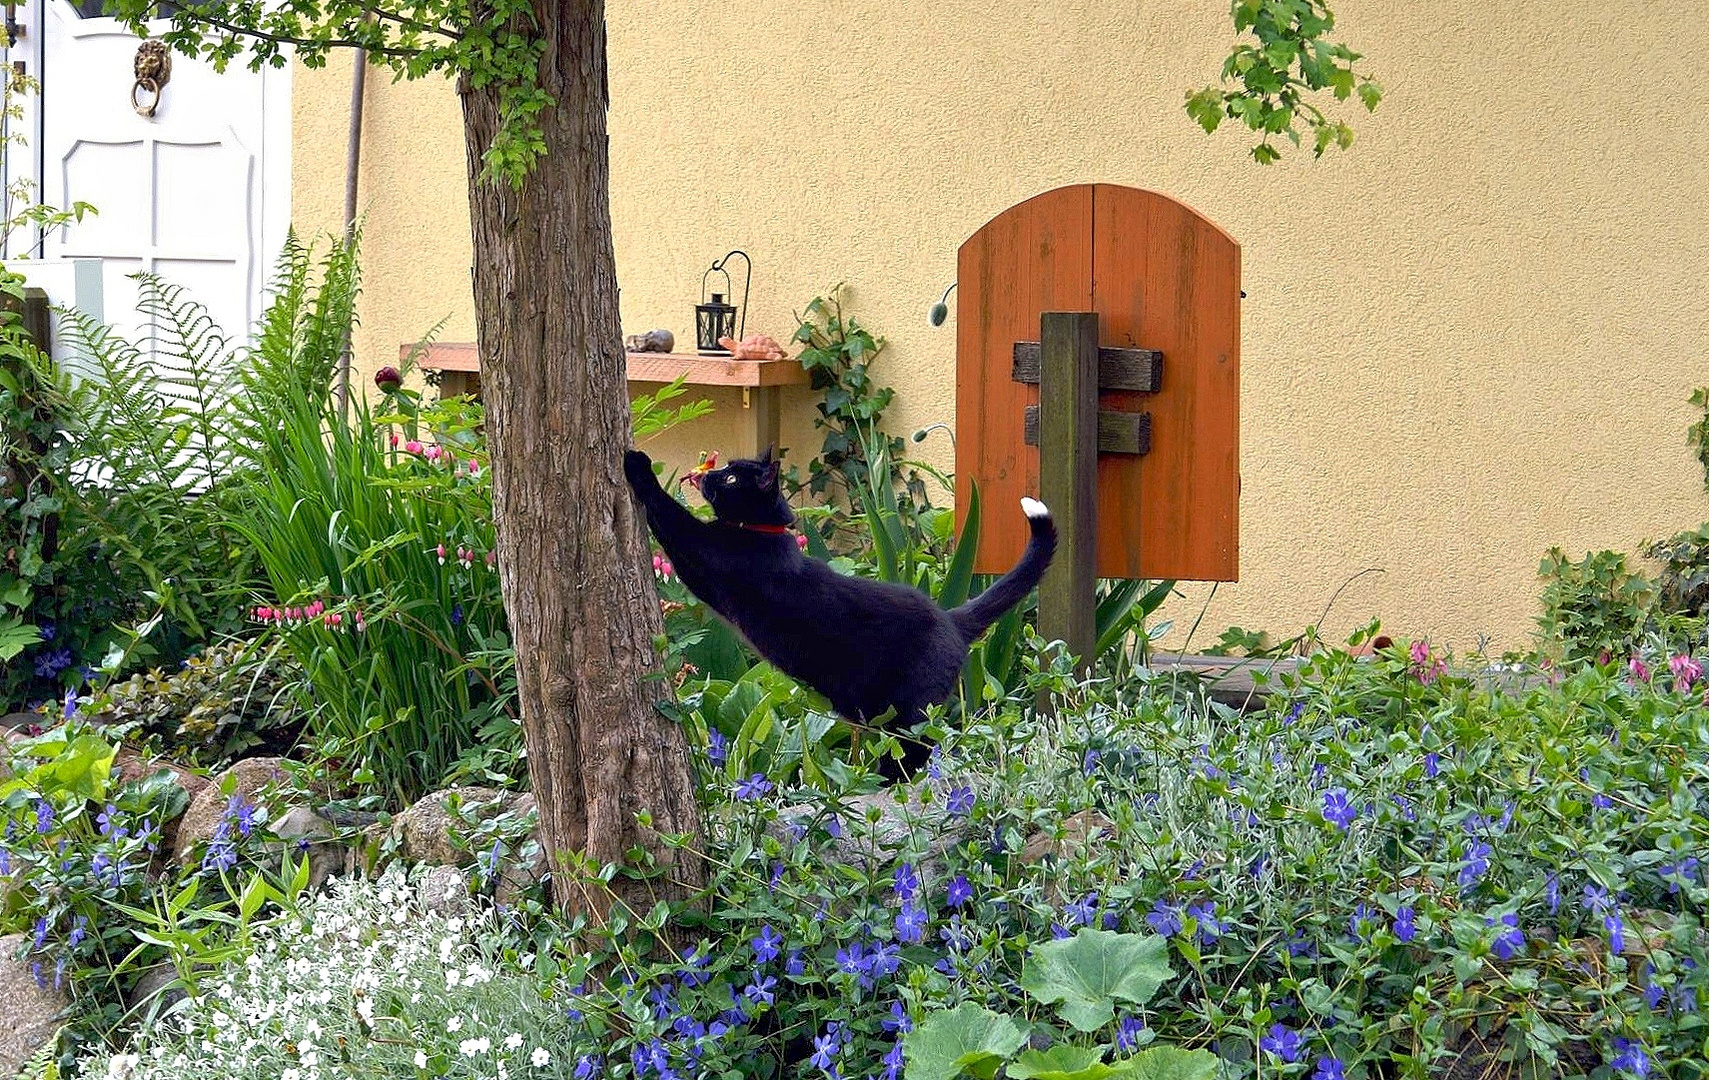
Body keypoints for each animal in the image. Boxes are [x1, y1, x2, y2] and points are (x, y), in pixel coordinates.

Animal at [628, 447, 1052, 775]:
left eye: (731, 479)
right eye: (725, 467)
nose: (708, 474)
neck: (762, 533)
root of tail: (952, 618)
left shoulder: (707, 555)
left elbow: (674, 518)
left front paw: (638, 464)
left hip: (911, 707)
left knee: (915, 749)